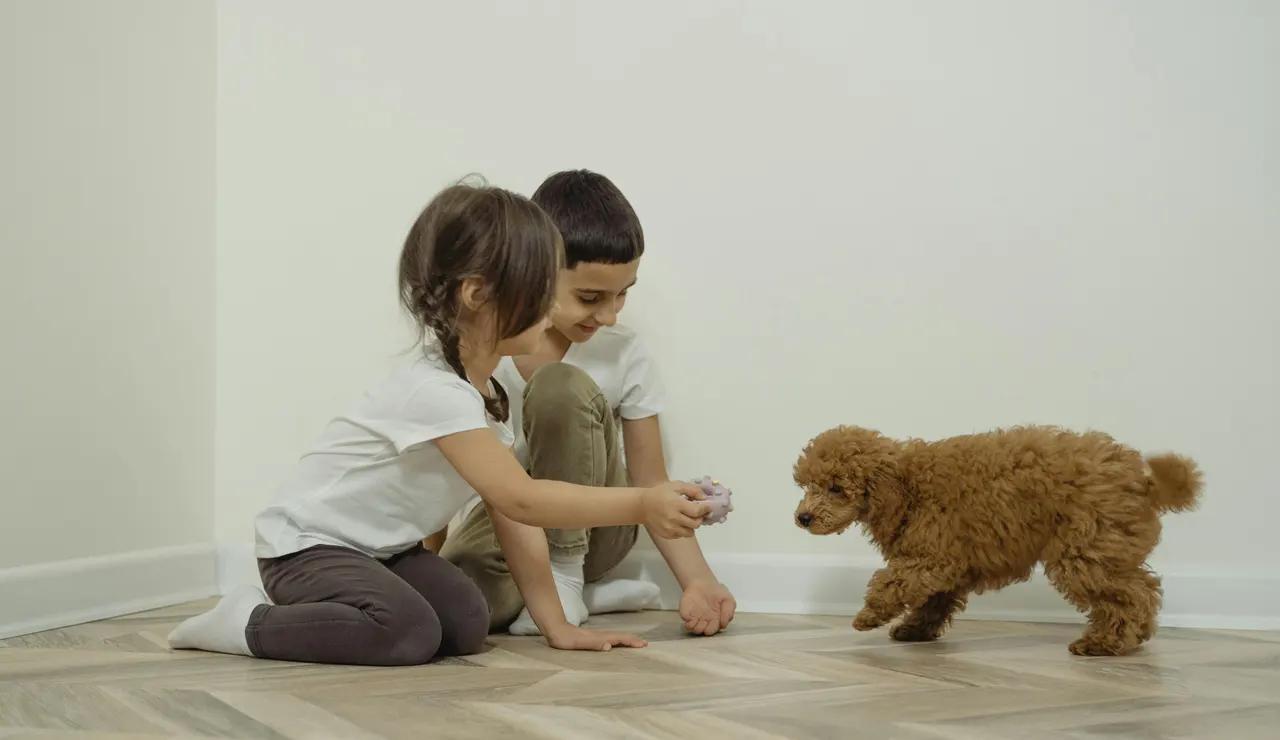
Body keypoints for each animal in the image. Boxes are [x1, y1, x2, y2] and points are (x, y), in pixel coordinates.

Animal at [793, 422, 1203, 652]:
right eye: (807, 485)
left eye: (835, 488)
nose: (802, 518)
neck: (909, 484)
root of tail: (1143, 480)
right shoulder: (946, 562)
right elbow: (934, 600)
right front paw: (915, 629)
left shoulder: (932, 556)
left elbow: (892, 581)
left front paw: (868, 616)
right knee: (1140, 588)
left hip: (1086, 550)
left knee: (1133, 594)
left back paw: (1106, 642)